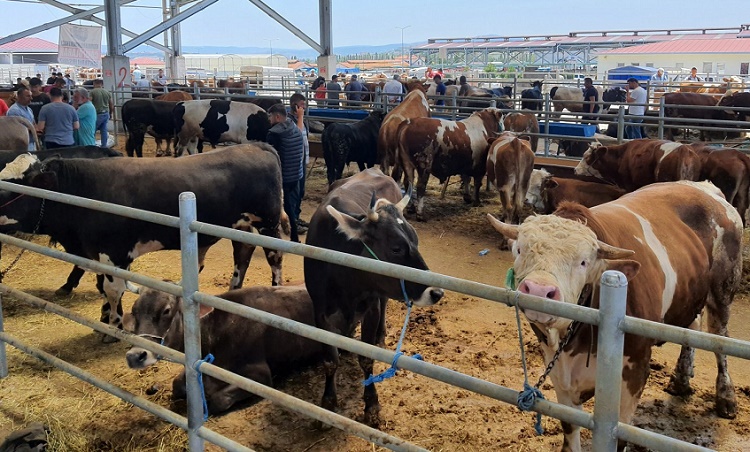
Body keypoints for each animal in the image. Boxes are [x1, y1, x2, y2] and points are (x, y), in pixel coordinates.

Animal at [0, 145, 286, 340]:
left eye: (10, 189)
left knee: (274, 257)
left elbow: (113, 289)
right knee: (243, 254)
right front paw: (104, 316)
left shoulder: (114, 252)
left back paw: (277, 293)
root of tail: (257, 145)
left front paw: (114, 326)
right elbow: (103, 286)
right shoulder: (98, 253)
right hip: (242, 226)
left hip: (267, 223)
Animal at [124, 284, 324, 414]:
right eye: (134, 311)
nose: (135, 355)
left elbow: (218, 400)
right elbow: (177, 384)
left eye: (166, 310)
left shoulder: (261, 375)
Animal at [306, 170, 444, 428]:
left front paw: (371, 405)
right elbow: (330, 361)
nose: (437, 292)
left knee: (385, 304)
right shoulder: (320, 310)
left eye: (416, 240)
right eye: (396, 248)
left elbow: (367, 360)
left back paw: (379, 336)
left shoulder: (370, 307)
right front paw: (327, 402)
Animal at [490, 181, 744, 452]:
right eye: (519, 249)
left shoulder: (635, 371)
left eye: (583, 262)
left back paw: (726, 397)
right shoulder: (559, 370)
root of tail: (703, 186)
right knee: (692, 328)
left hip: (723, 290)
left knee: (719, 339)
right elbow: (570, 426)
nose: (538, 290)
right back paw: (681, 379)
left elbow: (621, 434)